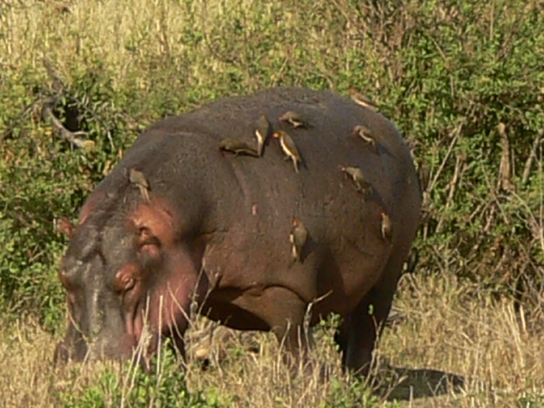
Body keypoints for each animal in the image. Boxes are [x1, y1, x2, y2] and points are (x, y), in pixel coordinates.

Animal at [55, 87, 421, 375]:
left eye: (129, 280)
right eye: (63, 275)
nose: (85, 364)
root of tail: (391, 130)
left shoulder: (285, 288)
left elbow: (295, 350)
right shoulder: (172, 299)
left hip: (388, 272)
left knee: (367, 328)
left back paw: (359, 382)